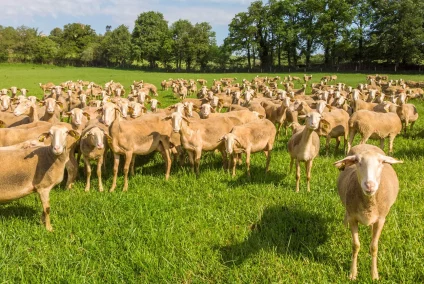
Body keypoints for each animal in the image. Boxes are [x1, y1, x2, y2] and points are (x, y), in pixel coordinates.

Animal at [334, 144, 400, 280]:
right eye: (357, 162)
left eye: (381, 162)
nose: (369, 185)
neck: (369, 203)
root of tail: (366, 144)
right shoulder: (353, 218)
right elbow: (355, 245)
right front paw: (352, 273)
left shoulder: (380, 220)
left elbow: (374, 247)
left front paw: (374, 275)